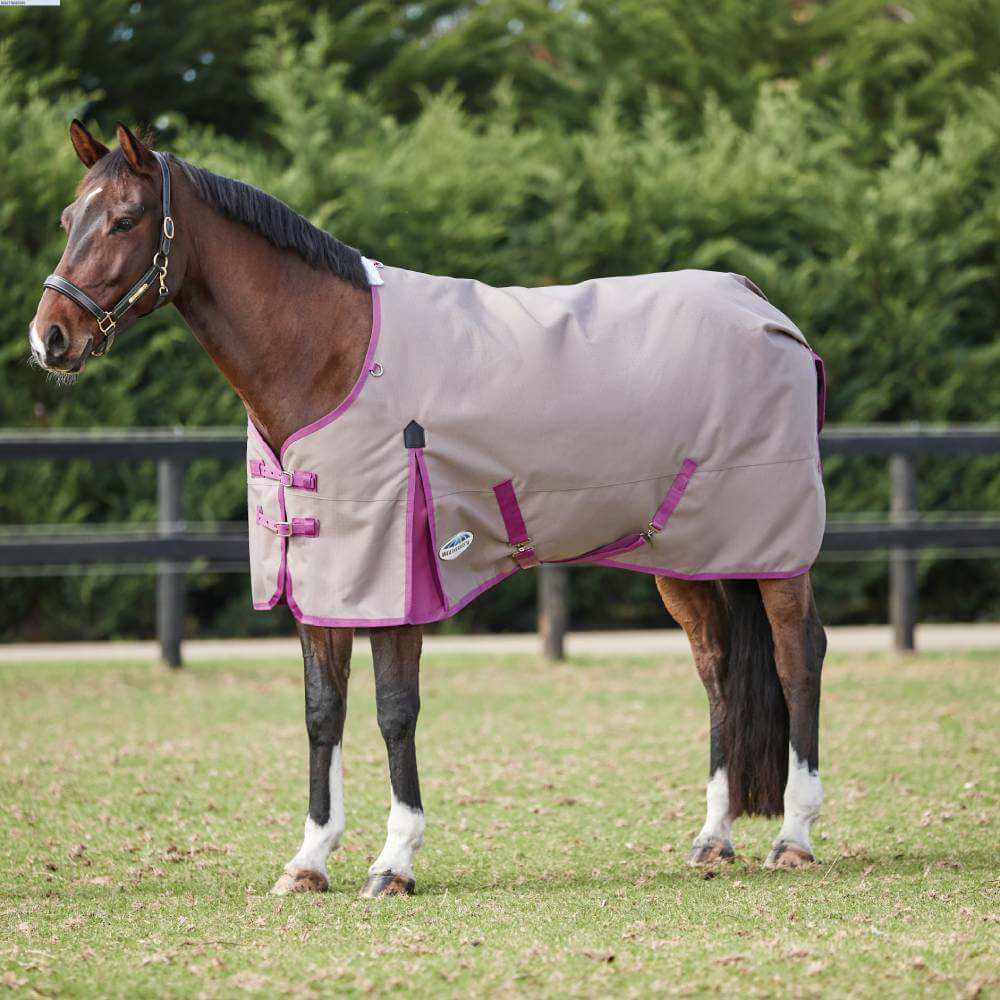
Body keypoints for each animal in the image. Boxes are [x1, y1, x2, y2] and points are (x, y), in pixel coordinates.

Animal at [28, 120, 827, 897]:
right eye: (69, 217)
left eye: (126, 219)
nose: (49, 337)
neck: (333, 355)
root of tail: (759, 303)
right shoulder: (323, 580)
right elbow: (323, 712)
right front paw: (309, 860)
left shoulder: (396, 582)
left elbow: (393, 711)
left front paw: (394, 862)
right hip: (686, 556)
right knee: (717, 667)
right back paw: (714, 838)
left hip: (776, 552)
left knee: (797, 657)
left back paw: (793, 838)